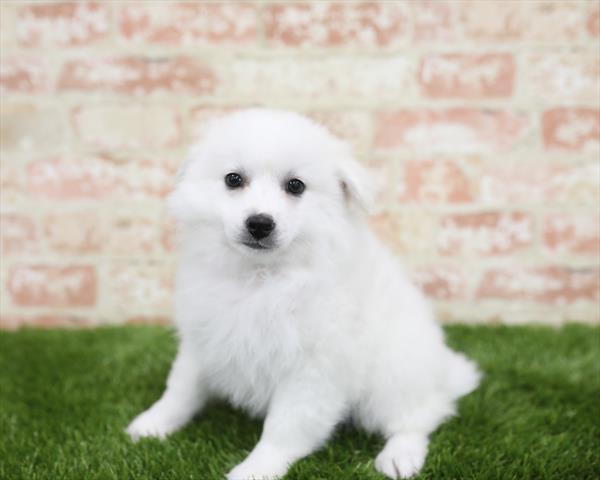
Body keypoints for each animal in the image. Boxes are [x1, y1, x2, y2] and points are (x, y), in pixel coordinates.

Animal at [125, 109, 478, 480]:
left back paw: (400, 456)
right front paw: (153, 423)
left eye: (295, 186)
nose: (259, 223)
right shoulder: (203, 338)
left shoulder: (312, 368)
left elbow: (284, 427)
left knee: (418, 419)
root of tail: (443, 373)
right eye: (233, 179)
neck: (261, 276)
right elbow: (181, 388)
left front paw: (256, 468)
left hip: (395, 374)